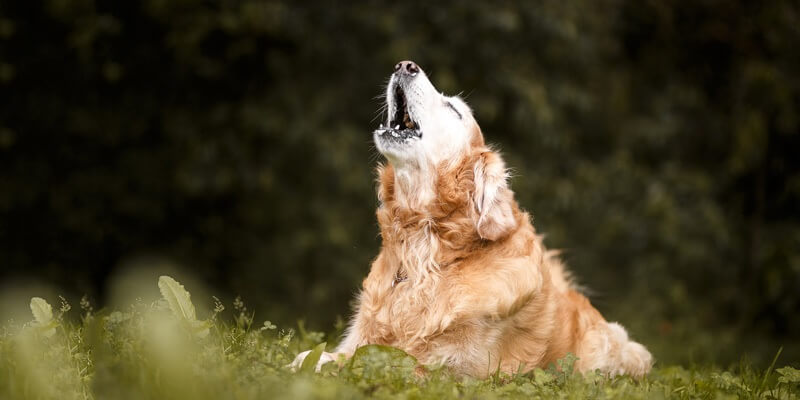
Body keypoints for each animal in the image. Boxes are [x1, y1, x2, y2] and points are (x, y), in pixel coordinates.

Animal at [290, 61, 652, 376]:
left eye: (454, 110)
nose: (404, 65)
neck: (426, 252)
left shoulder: (455, 370)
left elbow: (380, 364)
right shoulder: (360, 338)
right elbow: (325, 355)